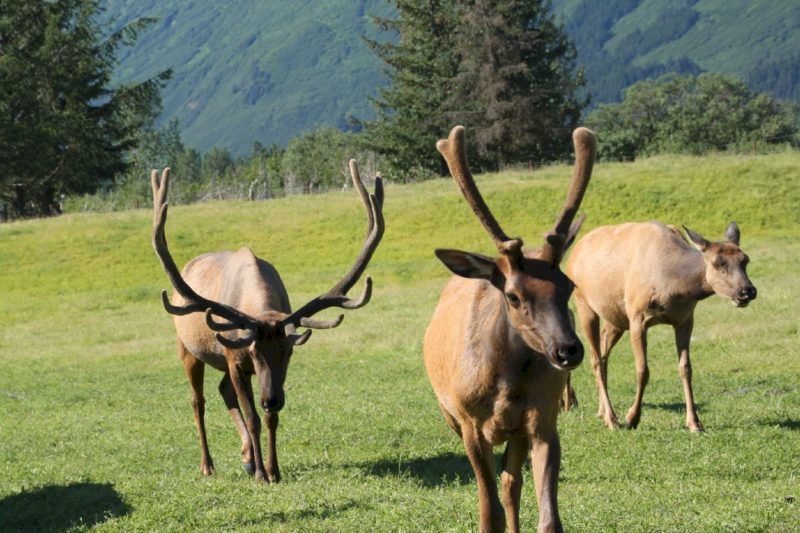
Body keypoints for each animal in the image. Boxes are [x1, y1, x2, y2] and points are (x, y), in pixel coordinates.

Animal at [152, 162, 384, 482]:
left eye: (288, 351)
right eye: (253, 350)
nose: (272, 399)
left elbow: (270, 419)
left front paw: (273, 470)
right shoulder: (235, 360)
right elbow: (253, 417)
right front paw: (262, 474)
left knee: (224, 391)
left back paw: (247, 458)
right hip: (187, 349)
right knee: (198, 401)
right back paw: (208, 465)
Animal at [424, 125, 592, 532]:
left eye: (569, 285)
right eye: (514, 296)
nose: (568, 349)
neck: (505, 385)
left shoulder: (543, 421)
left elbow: (548, 518)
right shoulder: (469, 423)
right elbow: (489, 514)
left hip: (517, 433)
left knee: (511, 483)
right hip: (453, 416)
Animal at [564, 220, 756, 432]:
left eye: (745, 260)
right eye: (717, 263)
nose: (747, 291)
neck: (675, 286)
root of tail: (573, 254)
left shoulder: (685, 319)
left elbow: (686, 368)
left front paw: (694, 423)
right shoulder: (637, 316)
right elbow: (643, 370)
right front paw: (632, 418)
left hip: (615, 317)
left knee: (603, 352)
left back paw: (601, 412)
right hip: (584, 303)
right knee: (596, 358)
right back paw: (610, 418)